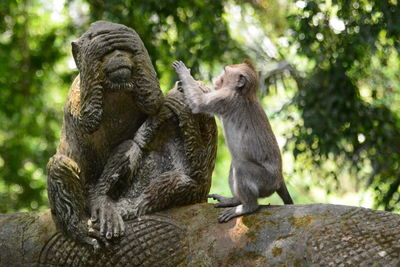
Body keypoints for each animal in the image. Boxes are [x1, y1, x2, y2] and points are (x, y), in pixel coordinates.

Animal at [46, 21, 216, 251]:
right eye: (108, 52)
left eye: (124, 49)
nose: (118, 54)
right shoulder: (75, 89)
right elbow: (88, 119)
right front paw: (95, 47)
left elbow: (153, 101)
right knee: (60, 165)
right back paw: (86, 223)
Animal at [173, 59, 294, 223]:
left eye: (224, 72)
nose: (217, 78)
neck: (243, 93)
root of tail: (279, 179)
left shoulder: (226, 98)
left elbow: (199, 103)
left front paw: (184, 72)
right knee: (234, 165)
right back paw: (235, 200)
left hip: (266, 181)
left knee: (241, 166)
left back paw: (247, 207)